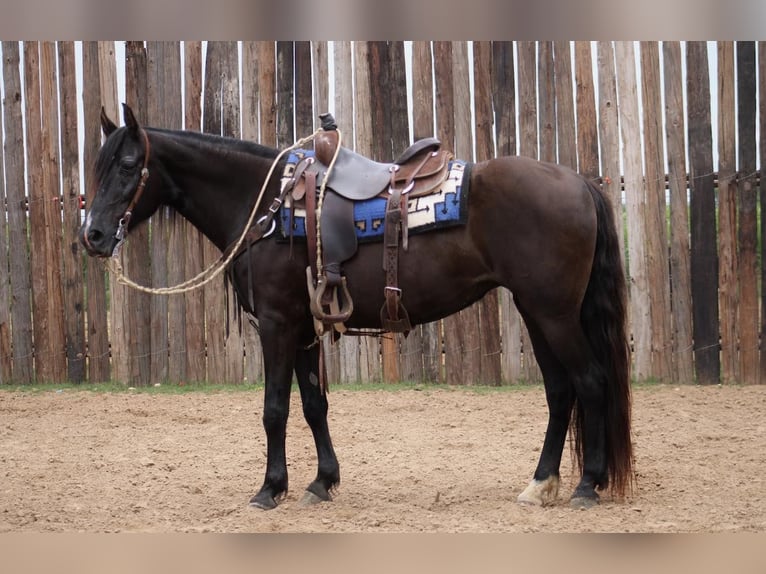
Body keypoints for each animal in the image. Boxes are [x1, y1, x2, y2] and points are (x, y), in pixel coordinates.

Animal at [81, 106, 636, 510]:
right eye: (96, 166)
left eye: (127, 166)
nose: (92, 235)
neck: (267, 206)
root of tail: (580, 183)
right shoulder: (304, 326)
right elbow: (313, 404)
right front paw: (321, 482)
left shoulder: (277, 325)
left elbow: (275, 409)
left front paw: (269, 489)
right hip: (536, 311)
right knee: (560, 391)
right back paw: (541, 484)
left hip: (554, 314)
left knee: (590, 382)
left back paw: (587, 486)